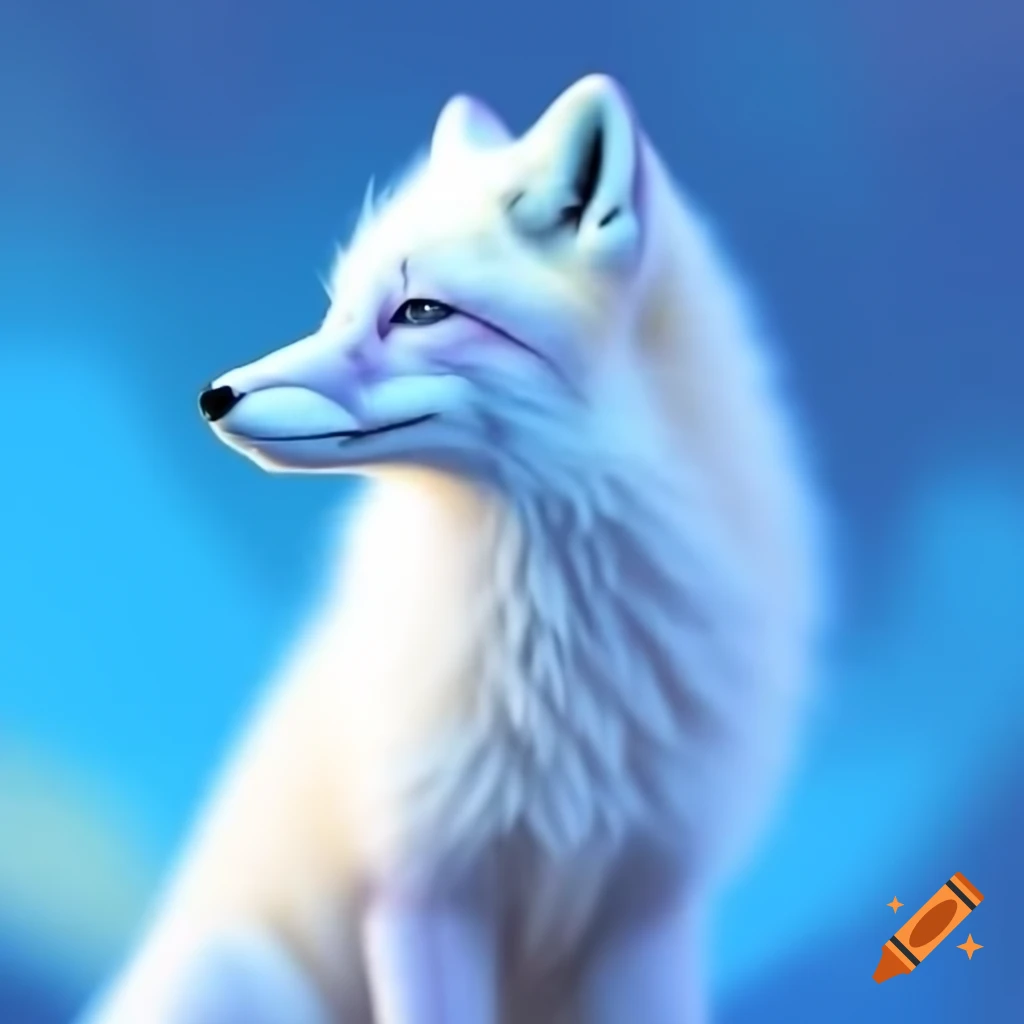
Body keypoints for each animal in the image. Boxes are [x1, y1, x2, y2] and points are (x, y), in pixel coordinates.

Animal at [82, 74, 824, 1024]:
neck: (558, 664)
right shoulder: (420, 885)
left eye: (422, 312)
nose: (214, 396)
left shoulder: (647, 899)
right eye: (335, 311)